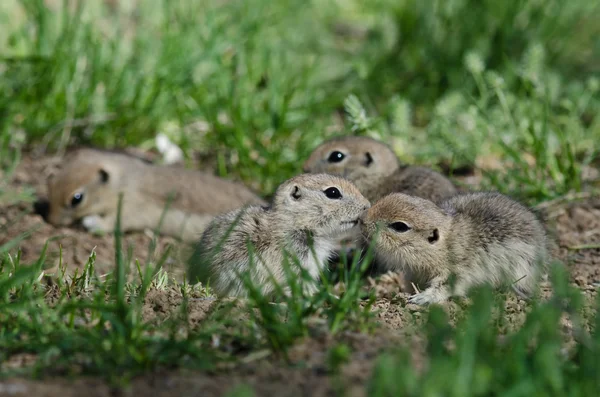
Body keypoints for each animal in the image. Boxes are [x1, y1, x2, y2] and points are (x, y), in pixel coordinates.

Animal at [44, 148, 264, 241]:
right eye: (50, 182)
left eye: (76, 199)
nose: (51, 221)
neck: (127, 180)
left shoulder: (129, 207)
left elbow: (113, 223)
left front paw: (92, 223)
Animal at [360, 191, 548, 304]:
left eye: (400, 226)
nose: (362, 220)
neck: (446, 244)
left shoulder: (458, 271)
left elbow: (445, 286)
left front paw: (421, 298)